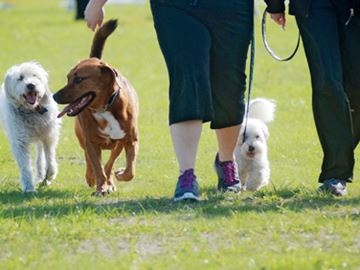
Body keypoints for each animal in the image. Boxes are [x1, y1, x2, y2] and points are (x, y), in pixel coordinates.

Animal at [0, 61, 60, 192]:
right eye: (20, 78)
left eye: (34, 75)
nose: (31, 85)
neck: (32, 111)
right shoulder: (19, 142)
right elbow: (25, 166)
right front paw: (29, 188)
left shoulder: (48, 136)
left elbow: (50, 159)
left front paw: (49, 177)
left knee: (40, 154)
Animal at [52, 19, 139, 196]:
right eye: (68, 78)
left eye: (79, 79)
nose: (54, 96)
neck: (105, 107)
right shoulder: (90, 141)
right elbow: (97, 165)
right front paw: (101, 186)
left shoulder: (130, 140)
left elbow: (127, 169)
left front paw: (116, 177)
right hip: (81, 136)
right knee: (88, 157)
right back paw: (92, 177)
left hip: (117, 143)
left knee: (110, 161)